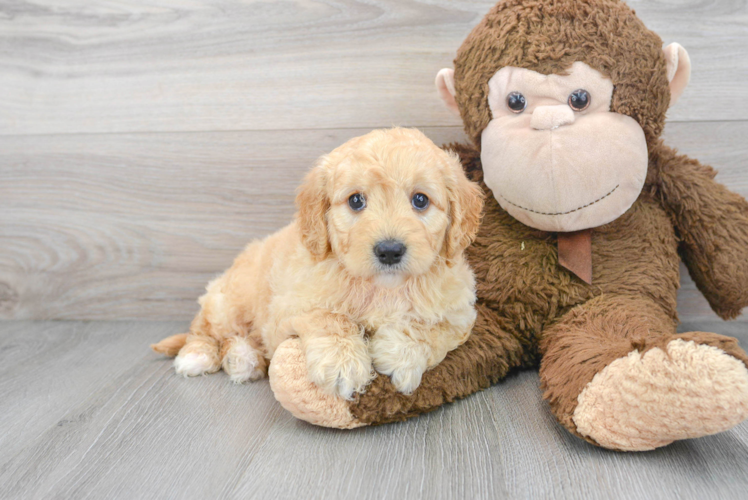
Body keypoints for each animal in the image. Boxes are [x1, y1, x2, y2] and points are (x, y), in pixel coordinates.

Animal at [152, 129, 482, 398]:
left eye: (420, 200)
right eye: (356, 201)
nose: (389, 250)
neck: (383, 289)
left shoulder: (461, 313)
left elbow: (435, 330)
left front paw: (401, 353)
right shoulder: (289, 307)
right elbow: (328, 316)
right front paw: (342, 363)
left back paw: (242, 359)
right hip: (228, 303)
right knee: (204, 329)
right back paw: (198, 356)